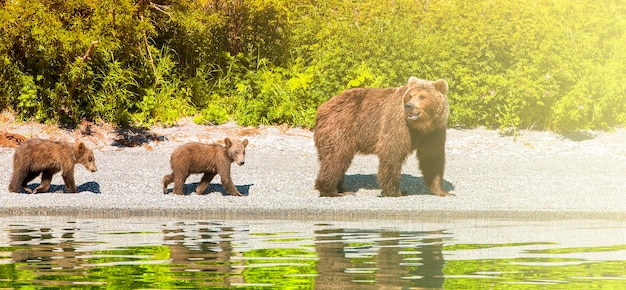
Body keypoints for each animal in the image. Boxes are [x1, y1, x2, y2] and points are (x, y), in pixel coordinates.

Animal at [312, 76, 448, 197]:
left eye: (422, 96)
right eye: (410, 95)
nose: (409, 105)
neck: (421, 126)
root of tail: (323, 106)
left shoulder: (434, 132)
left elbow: (432, 158)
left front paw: (442, 191)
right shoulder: (399, 125)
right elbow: (392, 152)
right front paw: (396, 192)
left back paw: (341, 189)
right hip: (341, 126)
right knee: (337, 157)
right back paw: (332, 191)